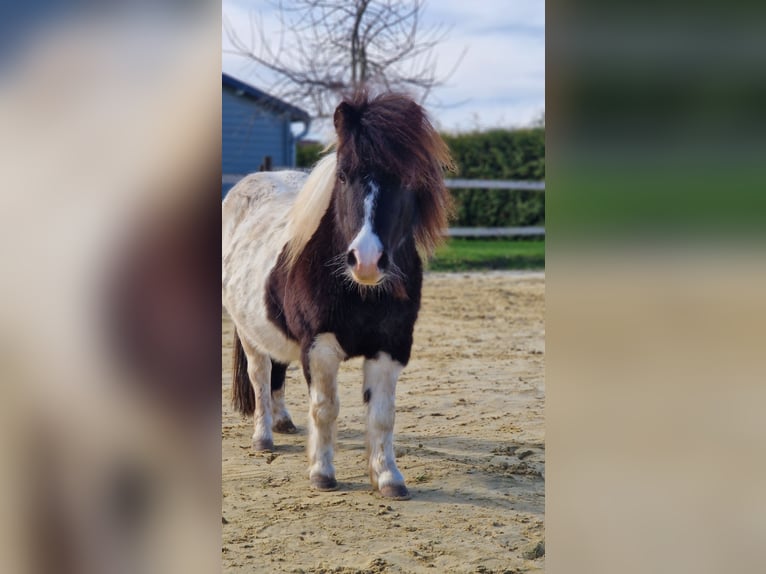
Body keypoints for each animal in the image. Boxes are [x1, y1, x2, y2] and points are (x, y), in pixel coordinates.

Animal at [219, 90, 452, 500]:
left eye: (407, 179)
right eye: (343, 175)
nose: (367, 260)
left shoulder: (391, 347)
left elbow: (382, 415)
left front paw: (388, 477)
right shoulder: (320, 348)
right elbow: (325, 408)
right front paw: (322, 473)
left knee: (277, 371)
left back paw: (282, 422)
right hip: (248, 331)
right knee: (260, 375)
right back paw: (264, 436)